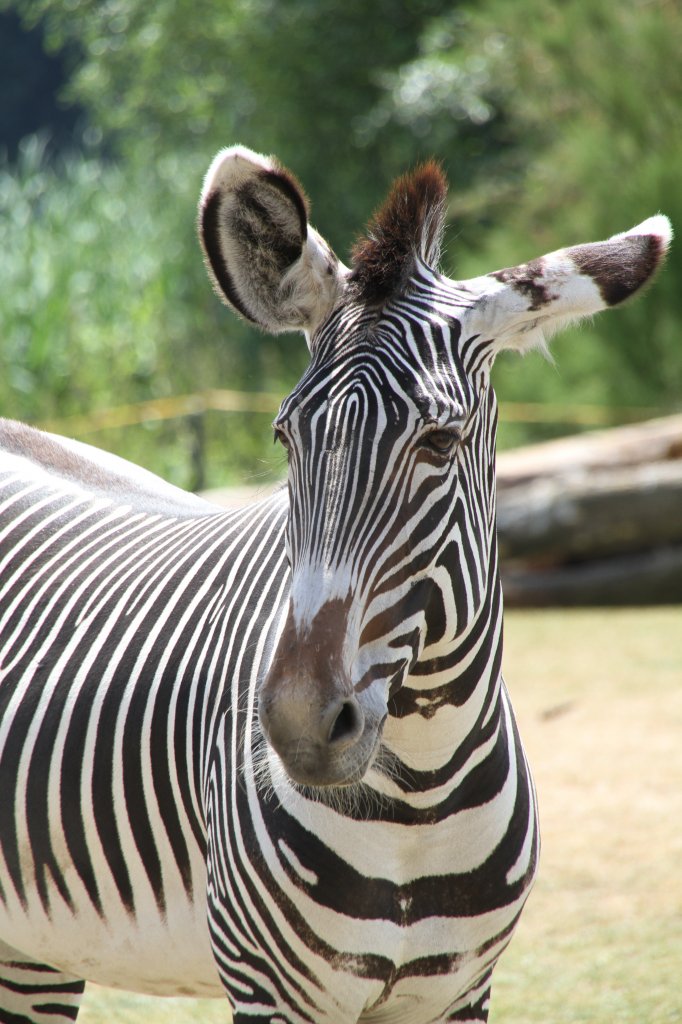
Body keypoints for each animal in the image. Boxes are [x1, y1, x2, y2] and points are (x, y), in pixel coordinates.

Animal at [0, 146, 667, 1024]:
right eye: (285, 436)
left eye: (441, 441)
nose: (298, 726)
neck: (421, 793)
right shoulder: (267, 986)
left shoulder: (461, 993)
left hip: (34, 948)